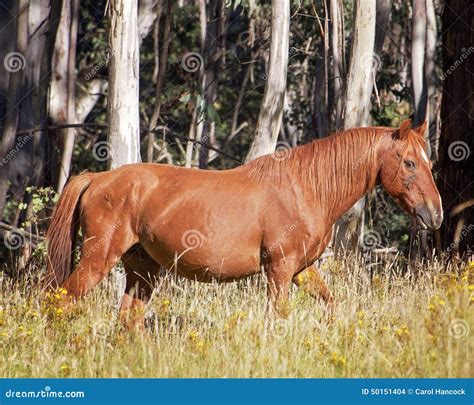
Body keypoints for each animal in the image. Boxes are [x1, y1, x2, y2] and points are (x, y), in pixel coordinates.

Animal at [46, 119, 442, 328]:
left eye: (428, 161)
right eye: (409, 162)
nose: (434, 214)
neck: (305, 188)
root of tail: (98, 178)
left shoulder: (303, 270)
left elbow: (330, 305)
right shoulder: (279, 269)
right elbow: (278, 317)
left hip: (143, 268)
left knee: (129, 319)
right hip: (99, 260)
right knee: (61, 302)